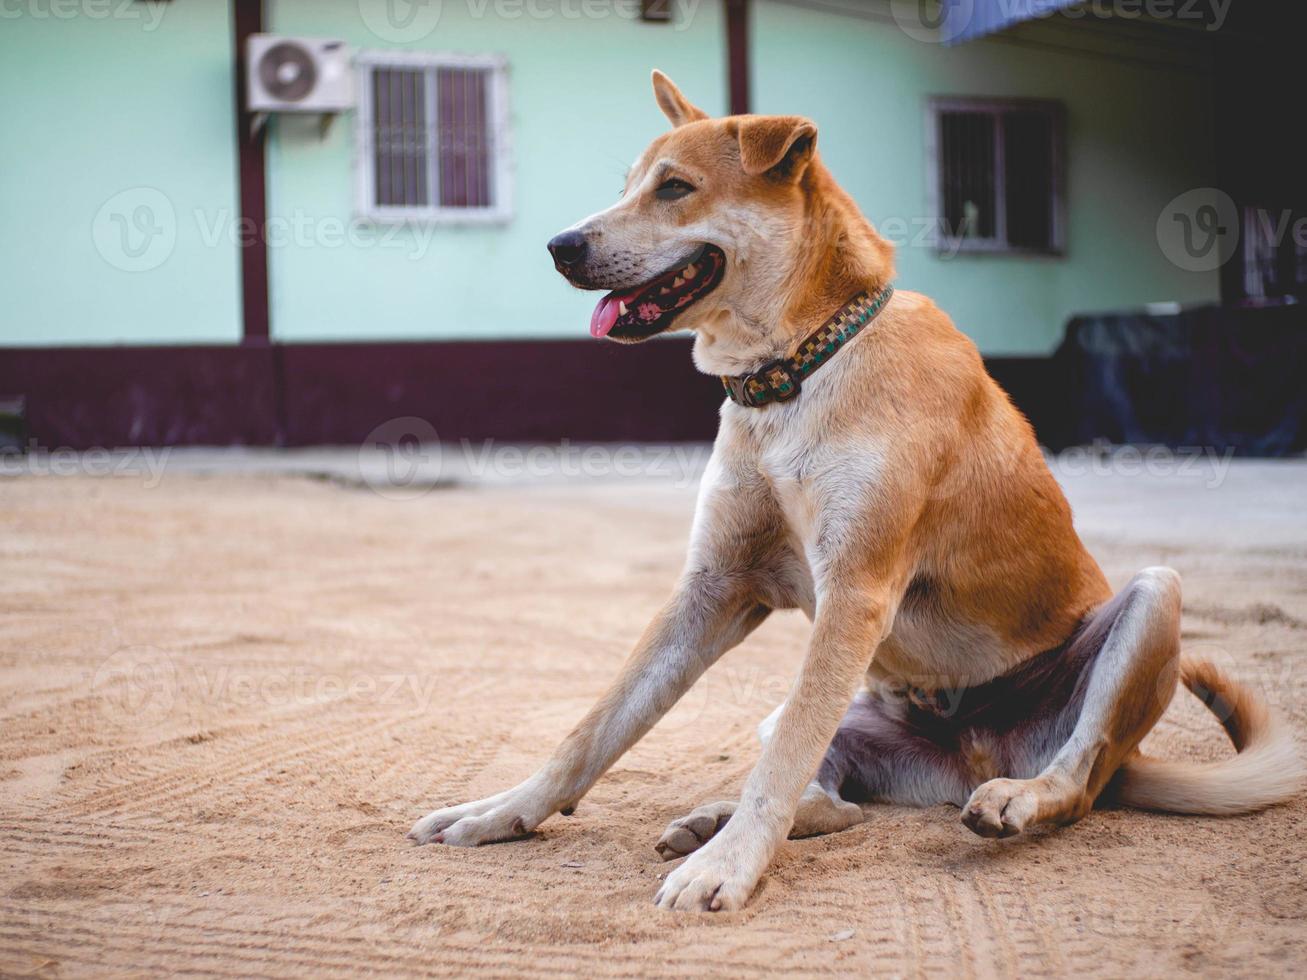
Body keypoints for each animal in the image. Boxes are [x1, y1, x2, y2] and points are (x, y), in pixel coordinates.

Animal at [410, 69, 1307, 914]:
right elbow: (596, 727)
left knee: (1075, 779)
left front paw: (728, 870)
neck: (793, 373)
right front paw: (505, 811)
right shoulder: (712, 589)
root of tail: (970, 750)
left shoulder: (853, 591)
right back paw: (713, 820)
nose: (559, 245)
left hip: (1150, 600)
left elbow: (773, 764)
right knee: (831, 798)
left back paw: (1014, 801)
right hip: (841, 704)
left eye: (674, 187)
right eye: (629, 182)